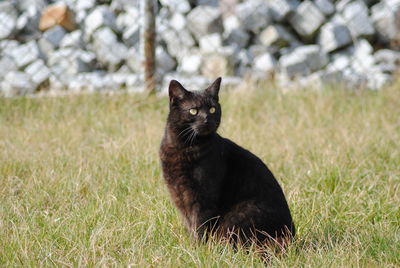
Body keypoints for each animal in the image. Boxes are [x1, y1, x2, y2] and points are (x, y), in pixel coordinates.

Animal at [159, 77, 294, 249]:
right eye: (193, 111)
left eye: (212, 109)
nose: (207, 119)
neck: (182, 146)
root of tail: (292, 236)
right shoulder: (179, 194)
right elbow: (190, 224)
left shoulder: (203, 197)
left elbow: (199, 225)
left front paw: (199, 250)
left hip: (241, 214)